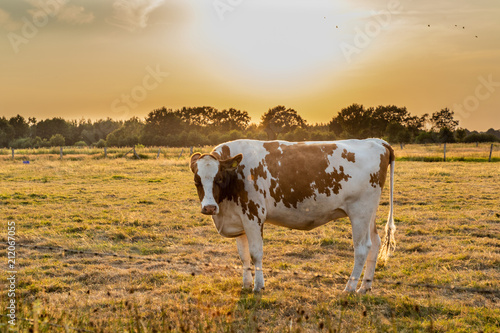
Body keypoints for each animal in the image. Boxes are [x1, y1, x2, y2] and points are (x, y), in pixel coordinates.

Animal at [189, 139, 396, 292]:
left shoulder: (253, 216)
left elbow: (255, 253)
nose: (209, 207)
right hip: (370, 214)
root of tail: (376, 141)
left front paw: (258, 286)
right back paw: (364, 287)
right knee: (375, 243)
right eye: (197, 180)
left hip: (360, 212)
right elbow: (243, 255)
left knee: (362, 248)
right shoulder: (238, 219)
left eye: (219, 178)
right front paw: (246, 284)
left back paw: (349, 289)